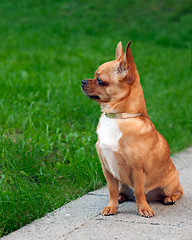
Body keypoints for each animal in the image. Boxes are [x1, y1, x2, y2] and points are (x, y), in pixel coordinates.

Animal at [80, 41, 183, 218]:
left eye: (99, 80)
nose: (82, 81)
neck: (117, 117)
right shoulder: (107, 169)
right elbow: (112, 190)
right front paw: (111, 206)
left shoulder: (137, 170)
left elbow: (139, 192)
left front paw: (143, 209)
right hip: (123, 184)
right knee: (123, 191)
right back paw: (121, 197)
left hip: (171, 183)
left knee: (177, 192)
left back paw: (169, 198)